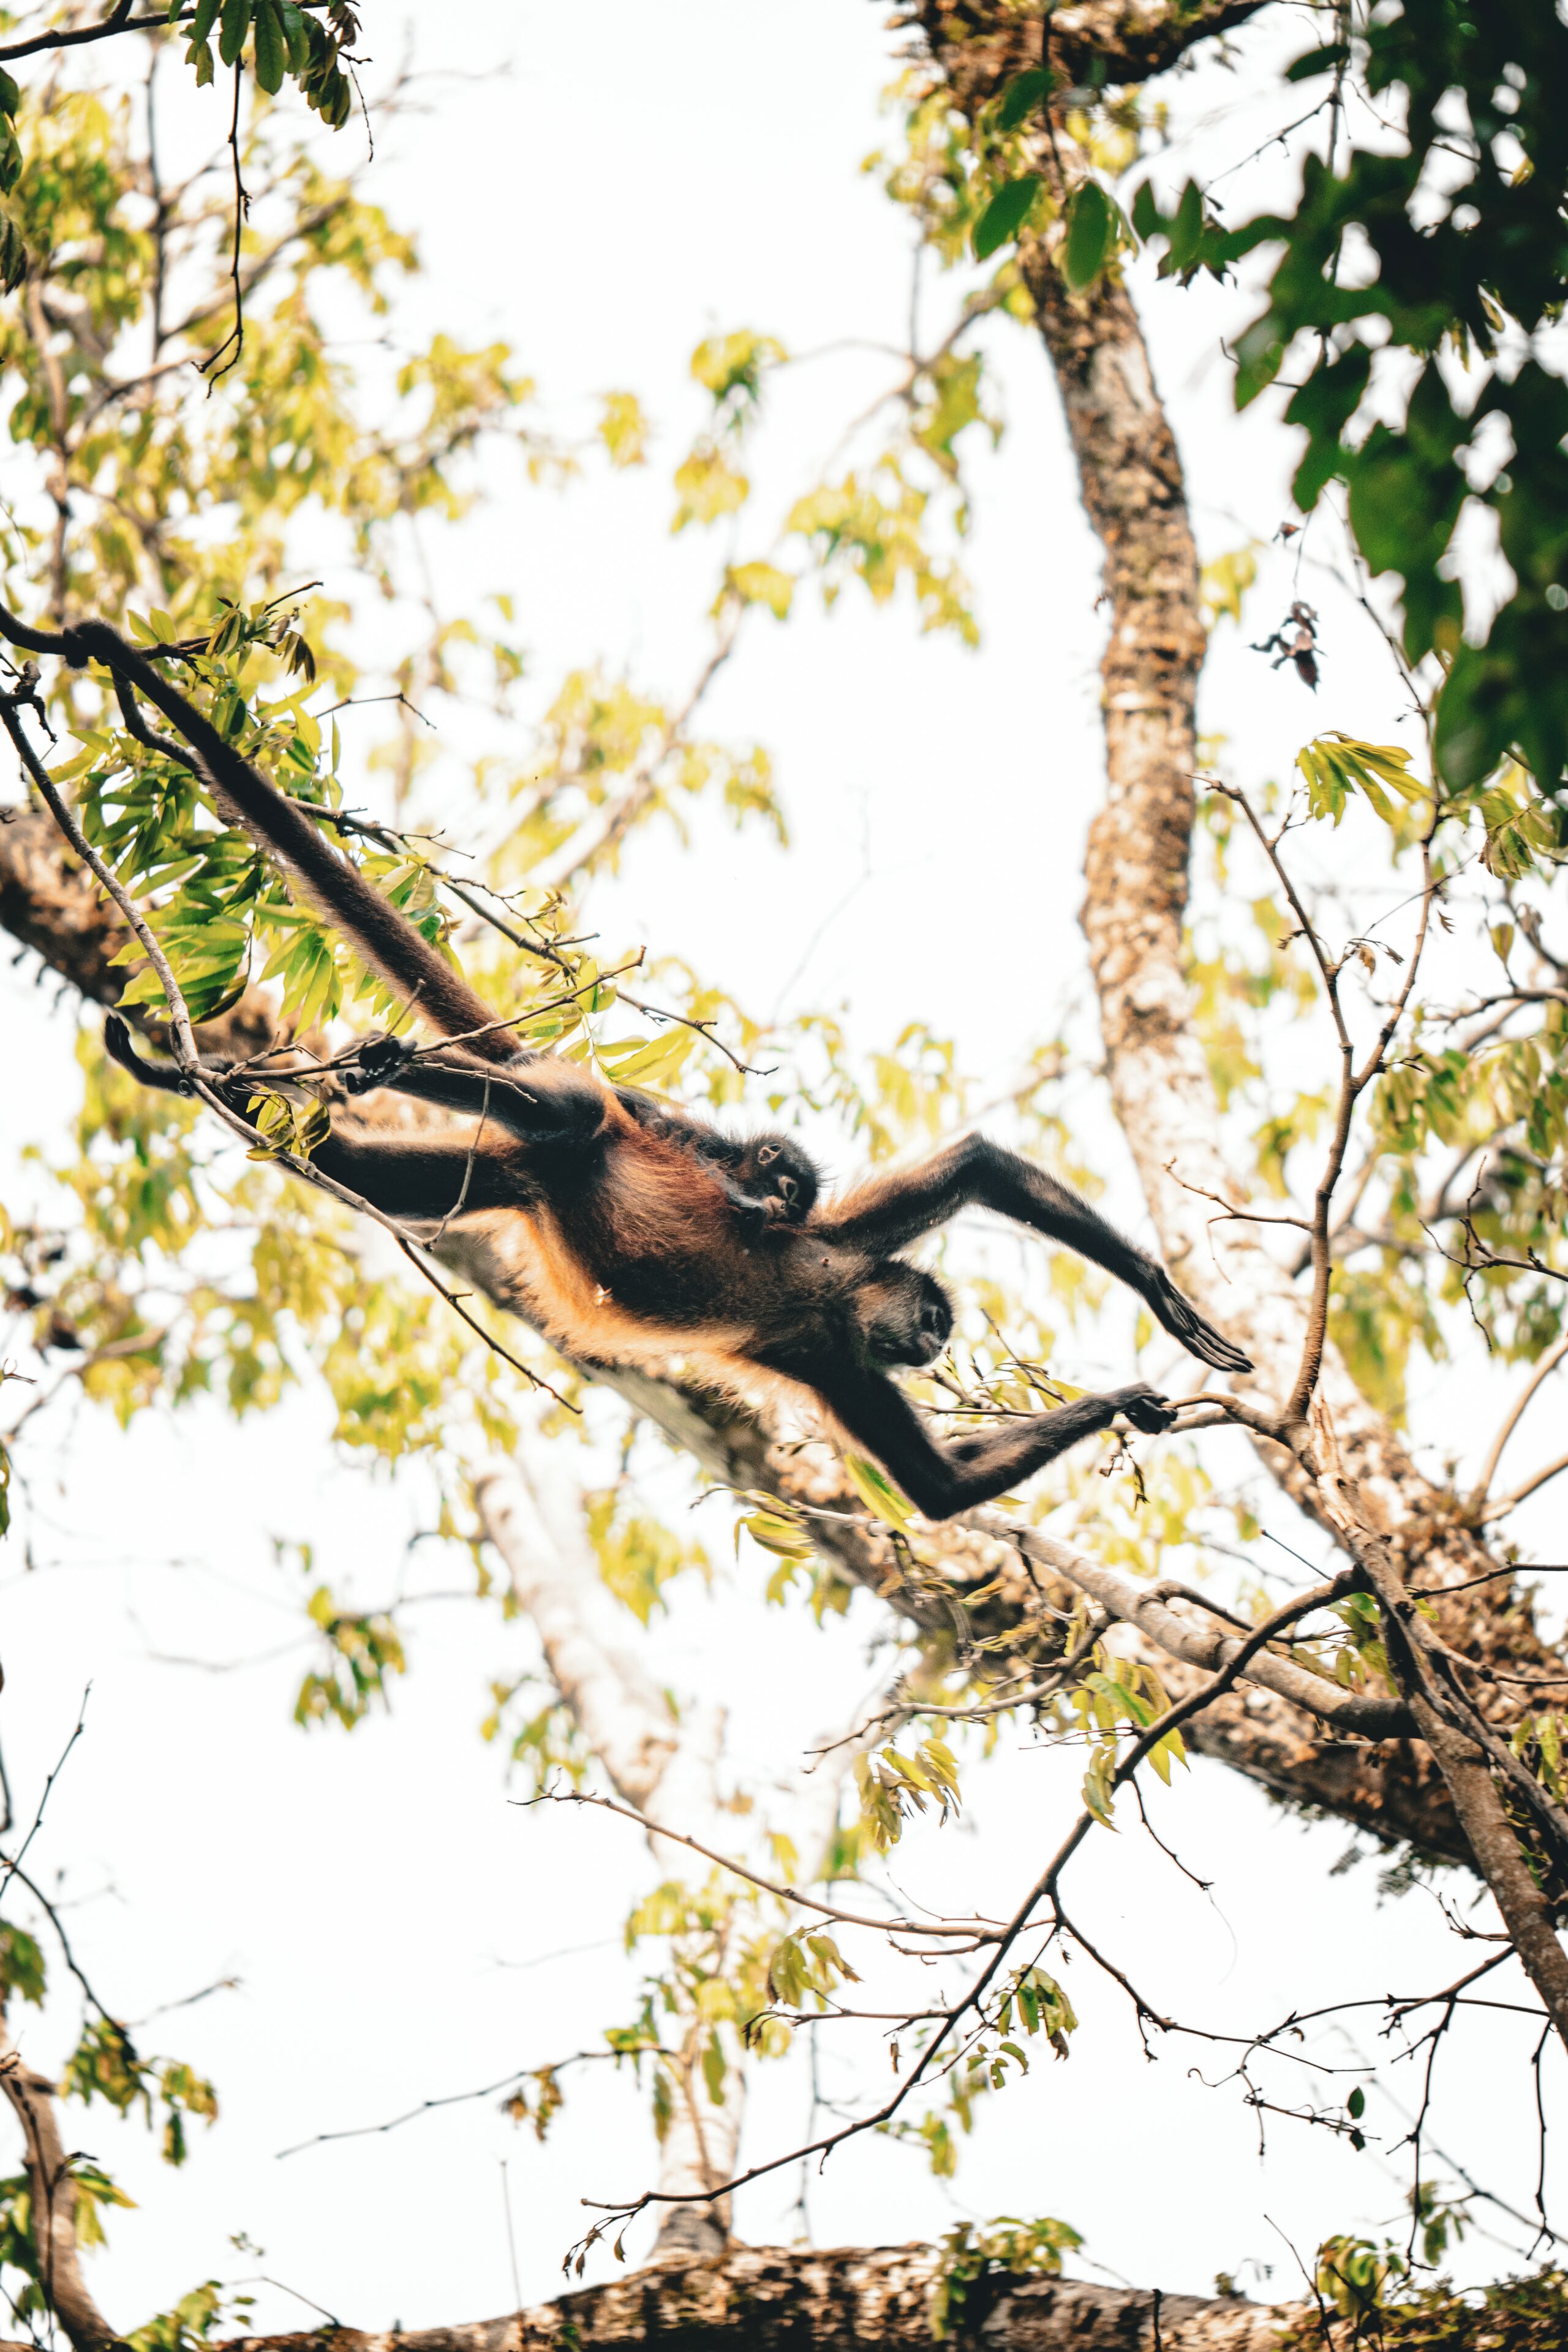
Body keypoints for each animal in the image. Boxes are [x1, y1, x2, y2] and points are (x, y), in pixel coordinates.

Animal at [7, 608, 1253, 1523]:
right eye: (936, 1322)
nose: (939, 1342)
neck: (835, 1295)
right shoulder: (835, 1265)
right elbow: (980, 1167)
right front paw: (1162, 1299)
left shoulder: (832, 1355)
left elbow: (945, 1490)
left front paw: (1136, 1387)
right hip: (585, 1117)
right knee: (552, 1103)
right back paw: (381, 1061)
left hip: (517, 1184)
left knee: (386, 1175)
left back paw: (252, 1108)